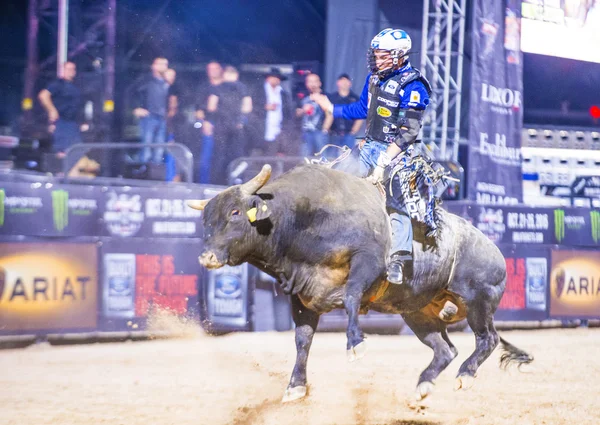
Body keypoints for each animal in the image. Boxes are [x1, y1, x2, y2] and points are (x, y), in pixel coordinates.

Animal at [188, 162, 528, 400]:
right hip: (417, 314)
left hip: (479, 302)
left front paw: (355, 344)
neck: (305, 219)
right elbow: (303, 340)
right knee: (445, 350)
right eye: (206, 220)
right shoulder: (303, 296)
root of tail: (495, 252)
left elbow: (351, 296)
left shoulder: (367, 263)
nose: (206, 257)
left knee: (487, 339)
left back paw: (465, 375)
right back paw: (423, 386)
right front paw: (295, 387)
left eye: (235, 212)